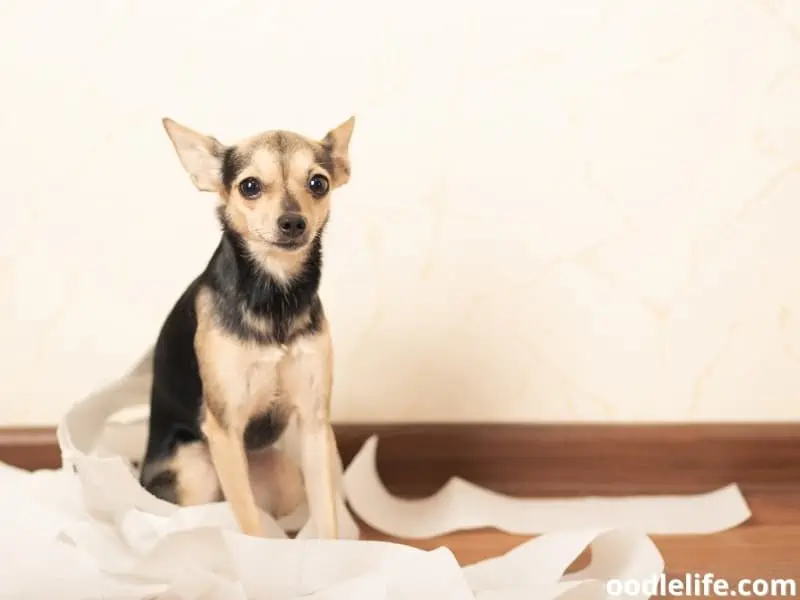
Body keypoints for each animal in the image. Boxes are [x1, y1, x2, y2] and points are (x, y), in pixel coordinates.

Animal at [136, 113, 354, 540]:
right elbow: (250, 526)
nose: (292, 221)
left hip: (284, 475)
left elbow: (327, 518)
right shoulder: (224, 428)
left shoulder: (315, 424)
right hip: (198, 467)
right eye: (249, 186)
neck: (275, 297)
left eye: (318, 183)